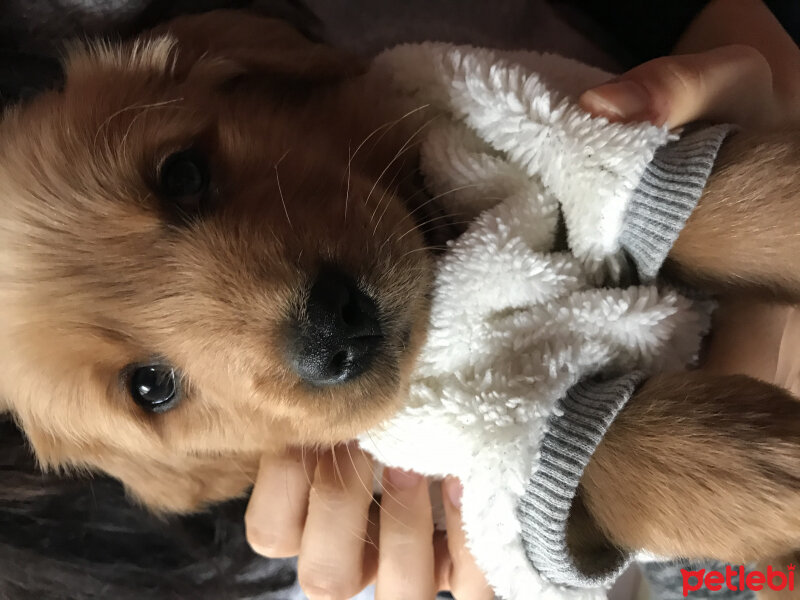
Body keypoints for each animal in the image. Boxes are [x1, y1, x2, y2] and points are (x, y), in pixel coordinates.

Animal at [3, 5, 800, 580]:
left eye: (182, 174)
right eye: (151, 387)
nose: (332, 331)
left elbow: (662, 189)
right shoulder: (465, 414)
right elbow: (559, 426)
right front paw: (747, 467)